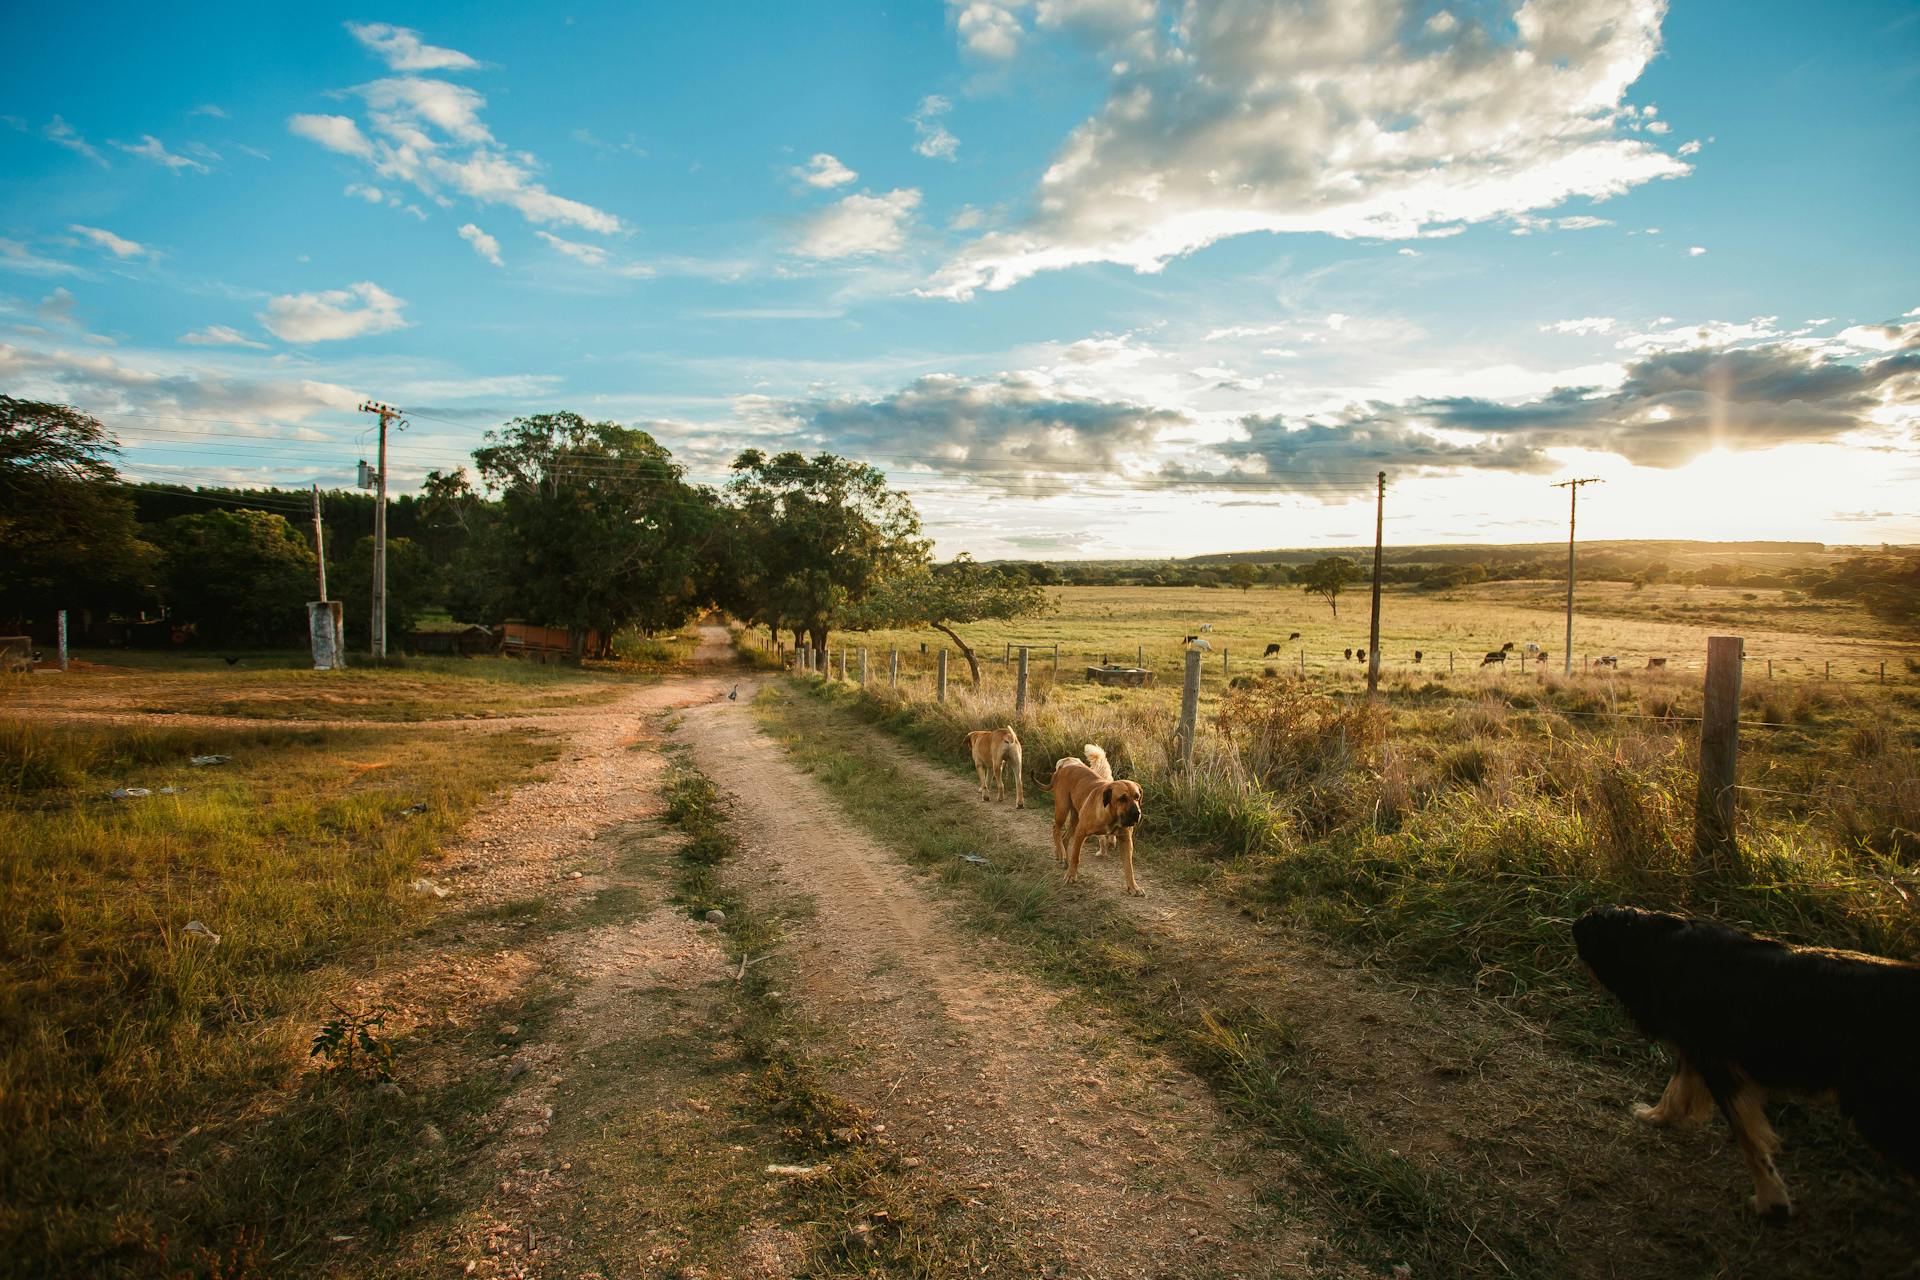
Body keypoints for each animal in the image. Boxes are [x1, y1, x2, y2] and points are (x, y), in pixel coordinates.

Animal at [1044, 767, 1144, 898]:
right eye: (1122, 798)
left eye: (1137, 797)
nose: (1137, 813)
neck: (1111, 815)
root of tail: (1062, 769)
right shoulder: (1081, 832)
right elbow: (1076, 857)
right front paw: (1071, 875)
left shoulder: (1126, 840)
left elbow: (1129, 867)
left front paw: (1133, 887)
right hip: (1062, 809)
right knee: (1056, 830)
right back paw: (1061, 853)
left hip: (1075, 817)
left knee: (1065, 837)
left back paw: (1063, 856)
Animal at [1574, 905, 1920, 1220]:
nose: (1573, 926)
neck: (1663, 947)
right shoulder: (1698, 1050)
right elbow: (1675, 1090)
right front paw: (1657, 1117)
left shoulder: (1719, 1065)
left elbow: (1749, 1142)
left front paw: (1771, 1202)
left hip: (1878, 1112)